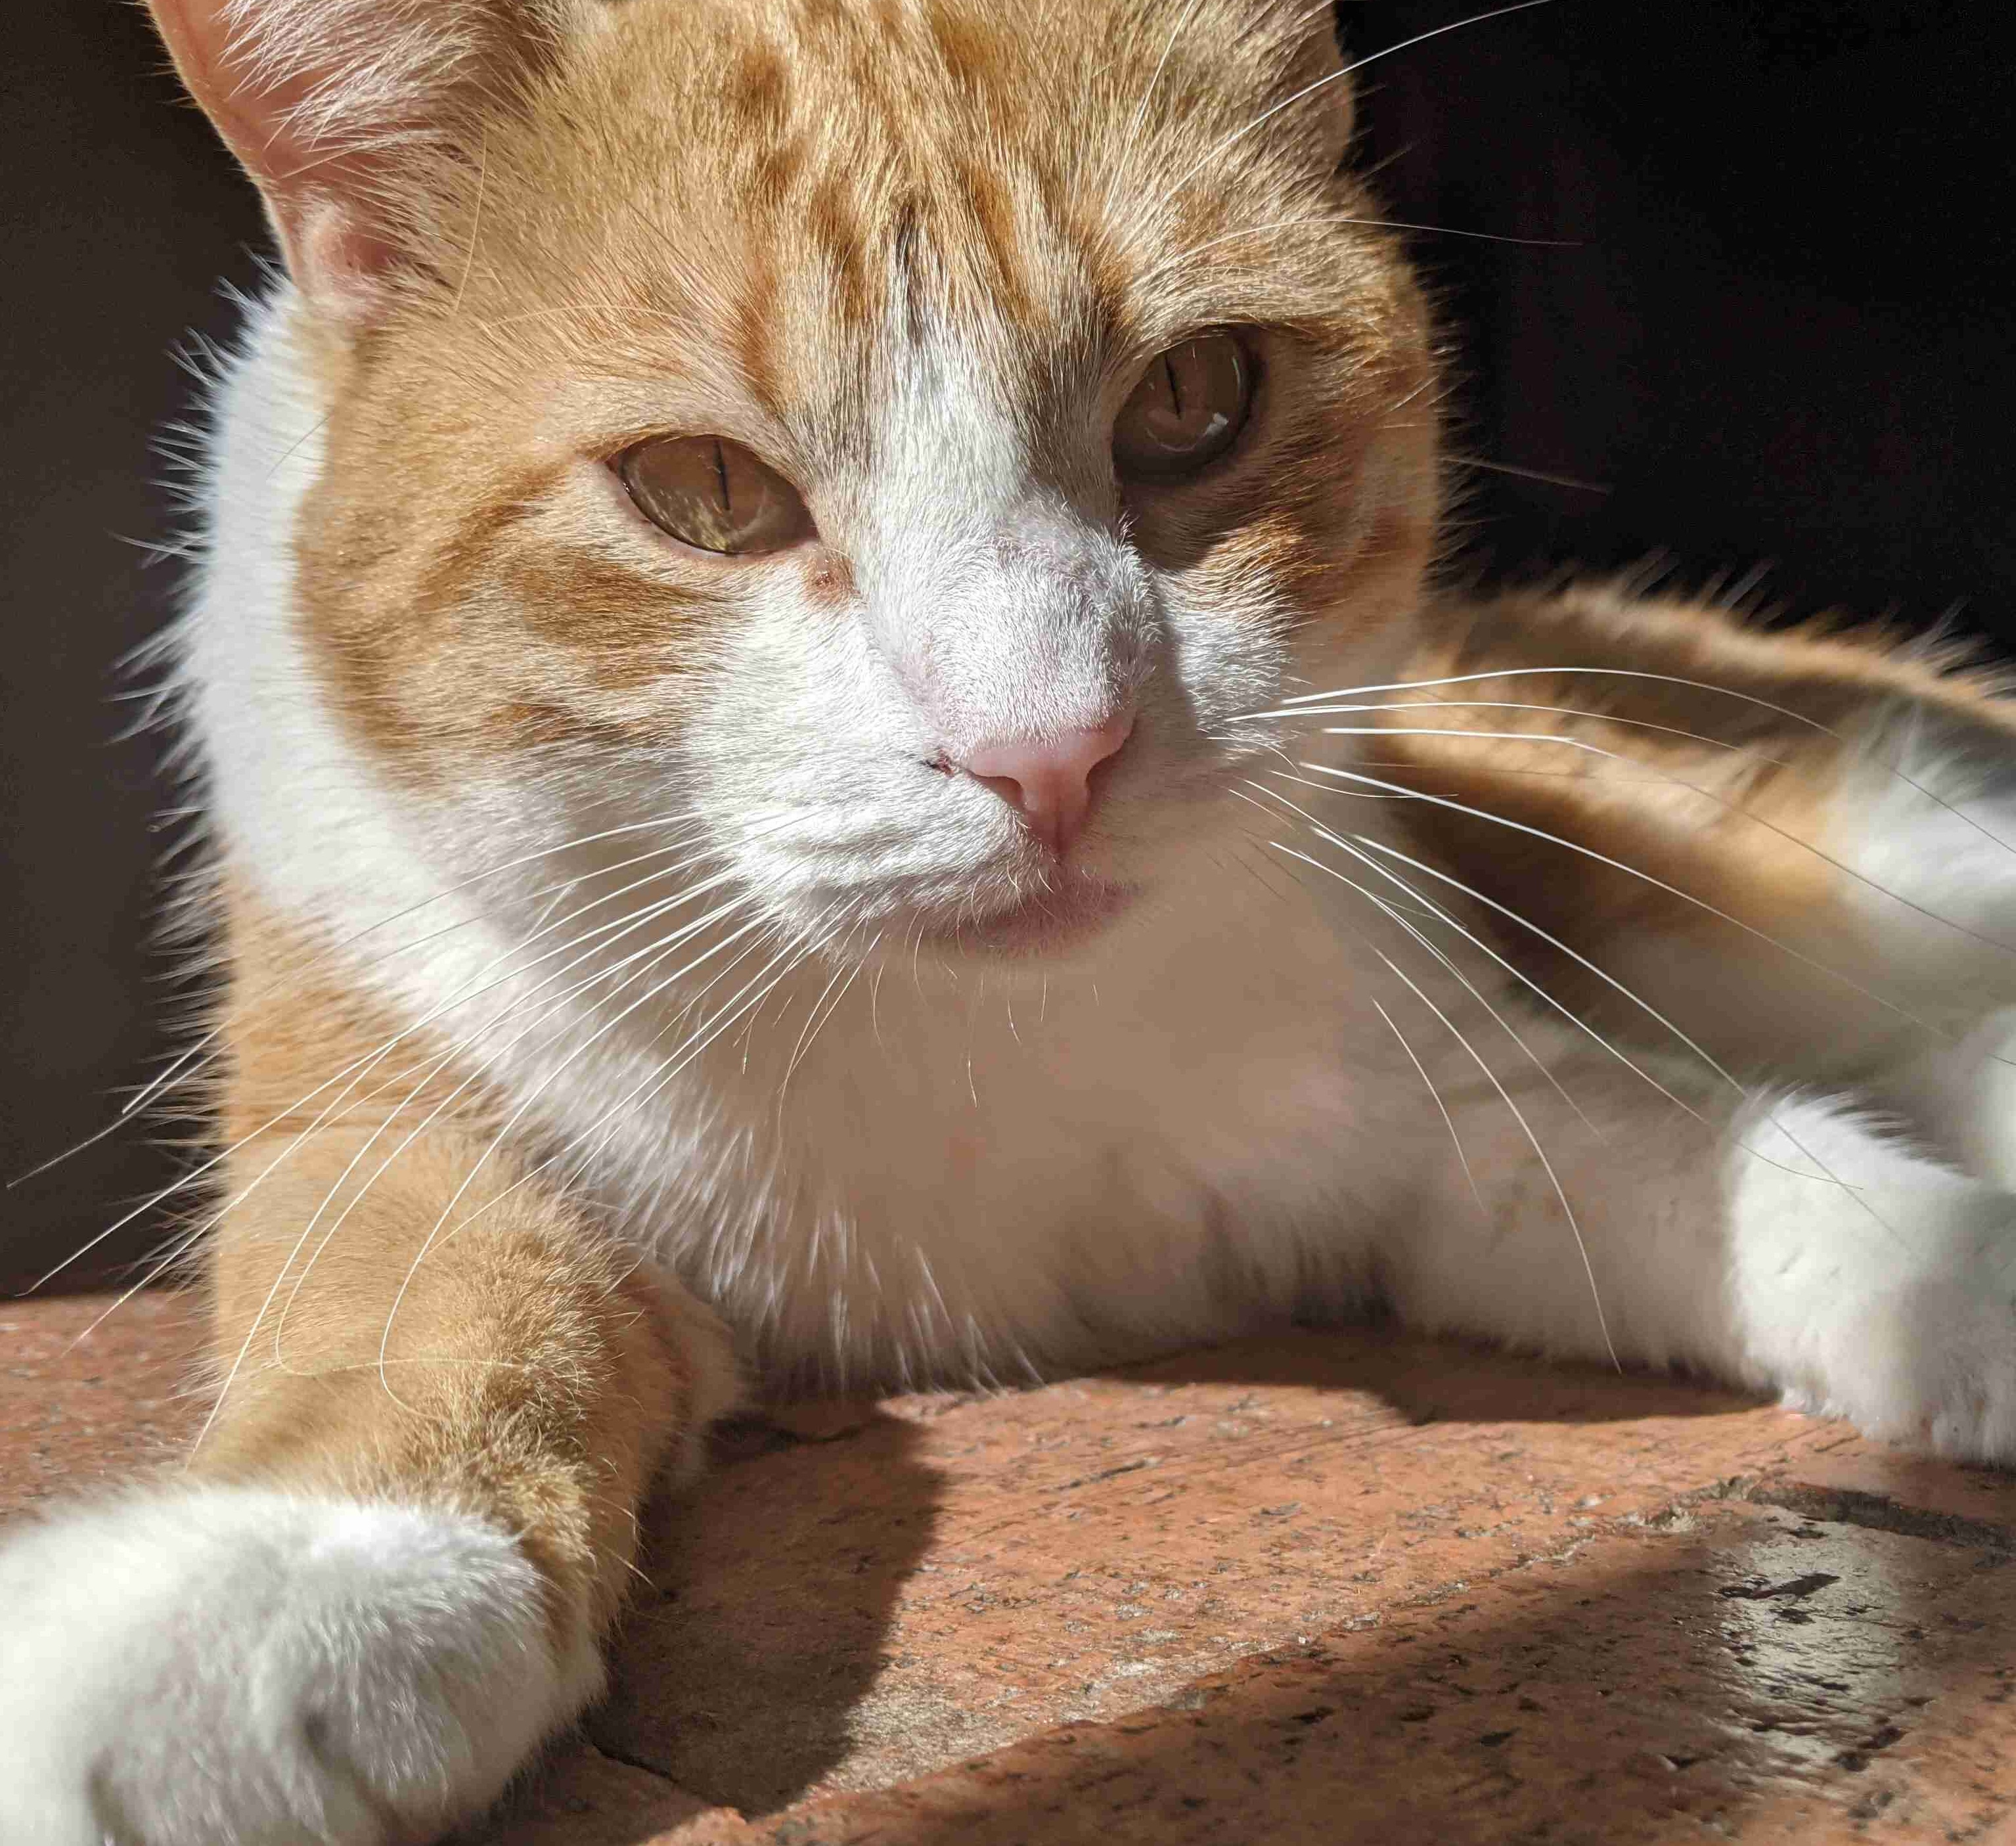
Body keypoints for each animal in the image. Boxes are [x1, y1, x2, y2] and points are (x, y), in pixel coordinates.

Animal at [3, 3, 2016, 1846]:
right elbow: (416, 1307)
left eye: (1196, 398)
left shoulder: (1457, 1108)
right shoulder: (376, 1108)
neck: (955, 1047)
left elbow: (1767, 1169)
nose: (1046, 751)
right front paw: (260, 1594)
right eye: (701, 491)